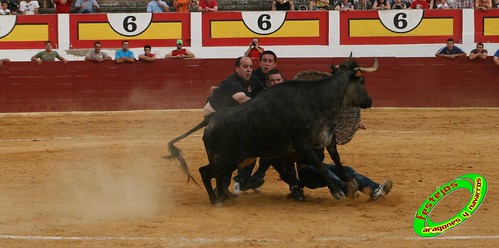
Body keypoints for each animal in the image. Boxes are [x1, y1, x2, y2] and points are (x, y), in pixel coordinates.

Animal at [165, 57, 378, 205]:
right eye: (362, 81)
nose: (369, 101)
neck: (317, 100)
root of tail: (211, 119)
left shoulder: (328, 140)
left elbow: (337, 162)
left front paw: (350, 184)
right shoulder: (302, 145)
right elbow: (320, 165)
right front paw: (338, 190)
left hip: (230, 160)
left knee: (217, 175)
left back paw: (225, 196)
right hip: (223, 158)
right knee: (206, 172)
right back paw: (216, 200)